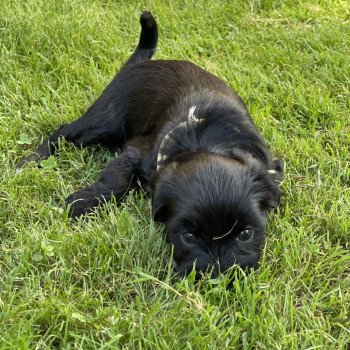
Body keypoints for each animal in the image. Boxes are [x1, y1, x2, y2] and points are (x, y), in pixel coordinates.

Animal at [18, 12, 282, 278]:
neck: (206, 143)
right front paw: (82, 202)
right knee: (64, 132)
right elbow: (116, 179)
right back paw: (28, 163)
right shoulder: (137, 152)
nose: (217, 275)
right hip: (105, 121)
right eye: (188, 237)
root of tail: (138, 65)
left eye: (246, 234)